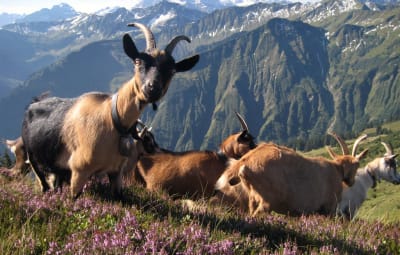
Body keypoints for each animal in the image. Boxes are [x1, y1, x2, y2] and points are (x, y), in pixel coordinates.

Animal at [21, 22, 199, 198]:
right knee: (43, 183)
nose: (152, 88)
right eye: (138, 61)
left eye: (172, 70)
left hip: (57, 167)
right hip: (33, 158)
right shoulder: (79, 171)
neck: (113, 118)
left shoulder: (116, 173)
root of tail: (33, 103)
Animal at [214, 132, 368, 216]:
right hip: (267, 200)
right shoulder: (328, 207)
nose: (351, 181)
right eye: (357, 164)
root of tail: (247, 159)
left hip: (252, 197)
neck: (336, 169)